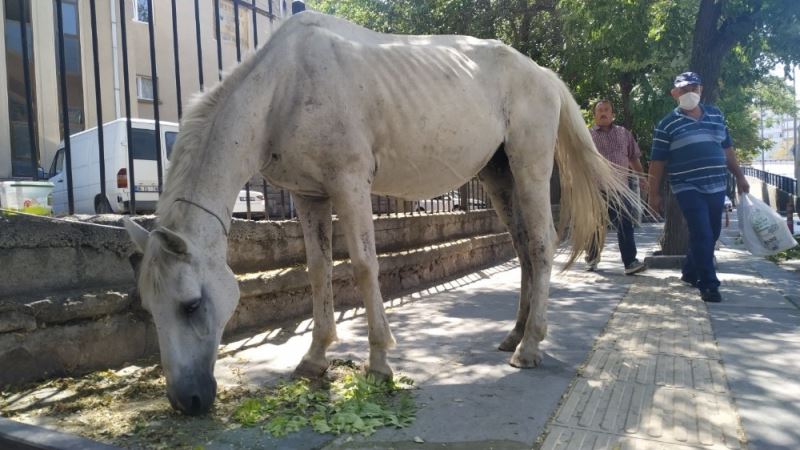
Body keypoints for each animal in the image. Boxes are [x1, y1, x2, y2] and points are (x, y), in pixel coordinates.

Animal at [123, 11, 637, 415]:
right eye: (149, 307)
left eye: (191, 304)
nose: (187, 401)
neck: (283, 87)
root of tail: (544, 74)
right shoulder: (310, 196)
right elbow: (318, 271)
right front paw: (314, 358)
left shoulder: (350, 184)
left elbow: (365, 267)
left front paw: (379, 363)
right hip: (499, 176)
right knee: (524, 250)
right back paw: (514, 334)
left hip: (529, 167)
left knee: (542, 246)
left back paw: (530, 347)